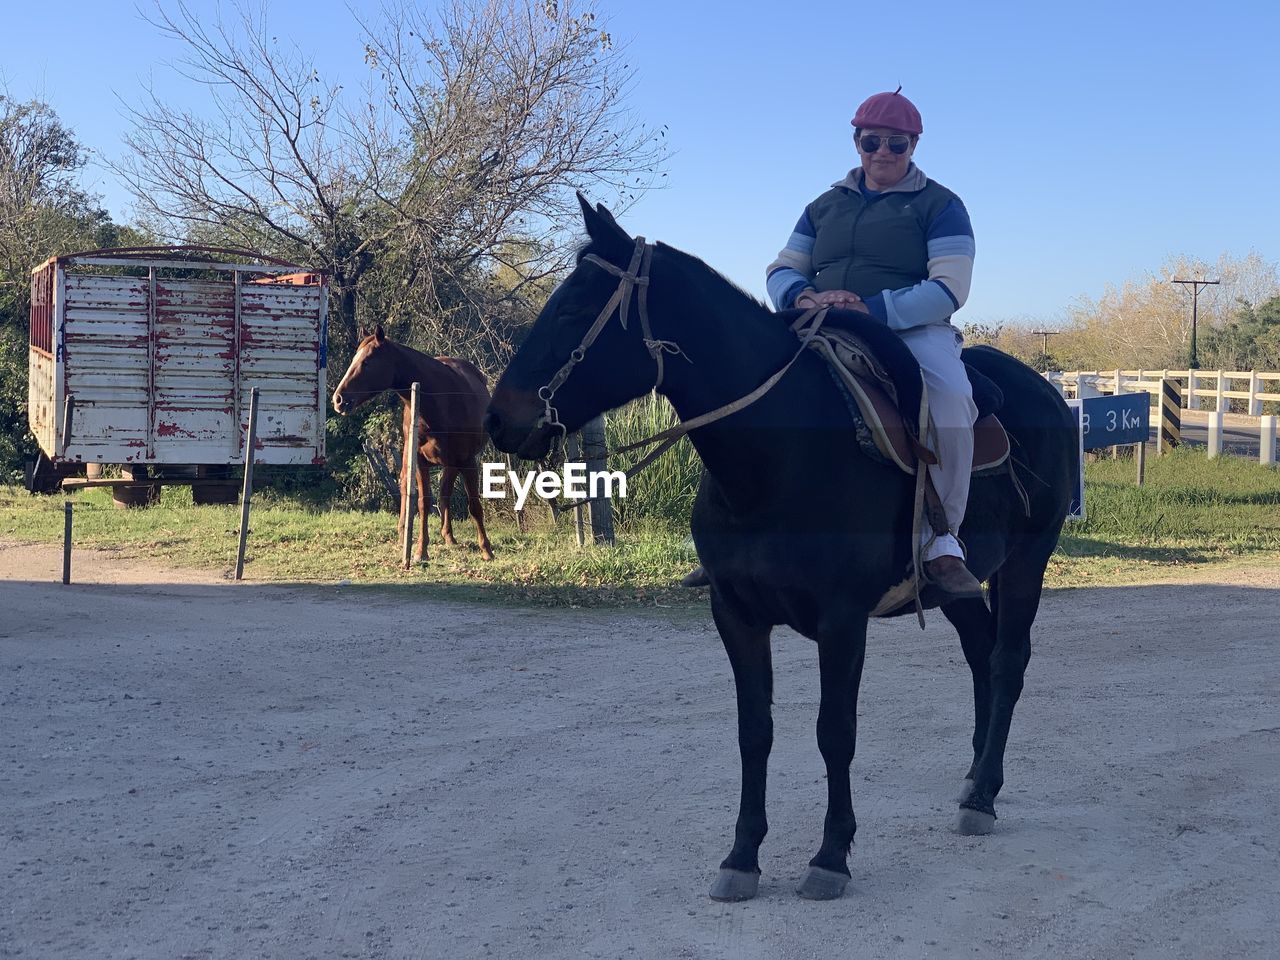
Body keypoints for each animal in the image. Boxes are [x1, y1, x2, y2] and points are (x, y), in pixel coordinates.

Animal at [332, 327, 496, 560]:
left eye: (367, 362)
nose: (338, 399)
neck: (440, 402)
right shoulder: (420, 461)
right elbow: (423, 503)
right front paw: (420, 550)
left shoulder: (467, 461)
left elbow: (473, 505)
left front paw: (486, 550)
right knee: (405, 487)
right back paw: (404, 534)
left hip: (452, 463)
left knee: (444, 492)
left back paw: (449, 536)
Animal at [483, 195, 1075, 901]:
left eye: (574, 309)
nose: (498, 418)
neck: (778, 456)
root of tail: (1049, 392)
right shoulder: (735, 615)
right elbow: (754, 732)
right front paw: (742, 856)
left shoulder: (843, 622)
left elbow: (834, 733)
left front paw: (831, 856)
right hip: (956, 587)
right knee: (982, 653)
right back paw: (975, 780)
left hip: (1027, 563)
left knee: (1007, 661)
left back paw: (984, 795)